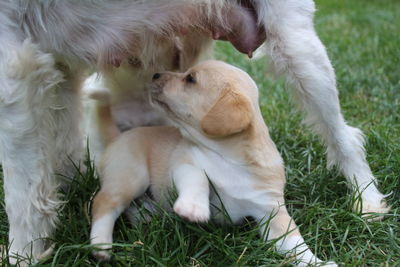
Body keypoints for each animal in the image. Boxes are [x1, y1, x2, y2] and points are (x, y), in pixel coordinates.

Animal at [90, 60, 338, 267]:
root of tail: (117, 137)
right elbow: (199, 179)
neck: (230, 159)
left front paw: (317, 263)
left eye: (190, 79)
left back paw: (144, 218)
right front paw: (193, 207)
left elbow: (295, 243)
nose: (155, 74)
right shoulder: (185, 163)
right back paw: (101, 244)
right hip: (131, 177)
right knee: (104, 203)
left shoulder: (271, 212)